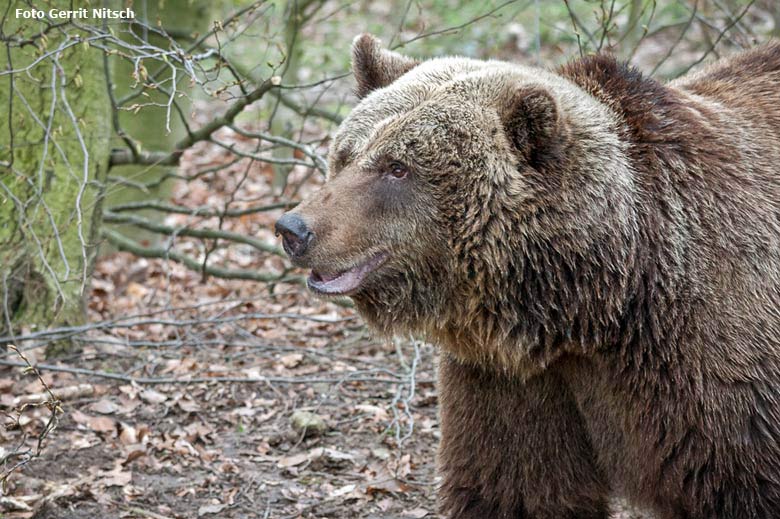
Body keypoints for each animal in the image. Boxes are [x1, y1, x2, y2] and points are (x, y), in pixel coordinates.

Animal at [274, 34, 780, 516]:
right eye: (347, 154)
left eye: (397, 167)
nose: (292, 229)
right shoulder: (513, 383)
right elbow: (518, 489)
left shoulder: (719, 385)